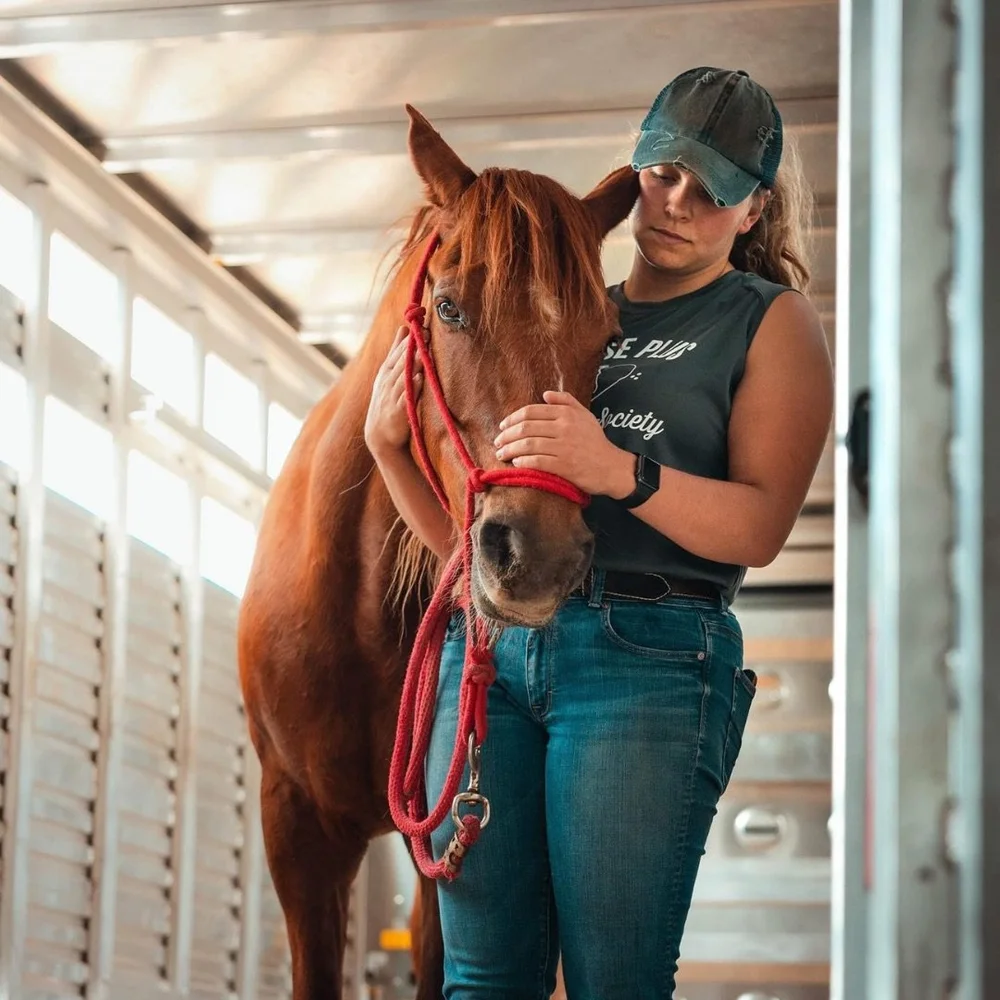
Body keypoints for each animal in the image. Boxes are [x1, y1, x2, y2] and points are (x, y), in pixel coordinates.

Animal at [237, 104, 639, 1000]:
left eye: (606, 337)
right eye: (450, 308)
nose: (539, 553)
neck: (360, 611)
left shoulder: (442, 843)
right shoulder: (297, 827)